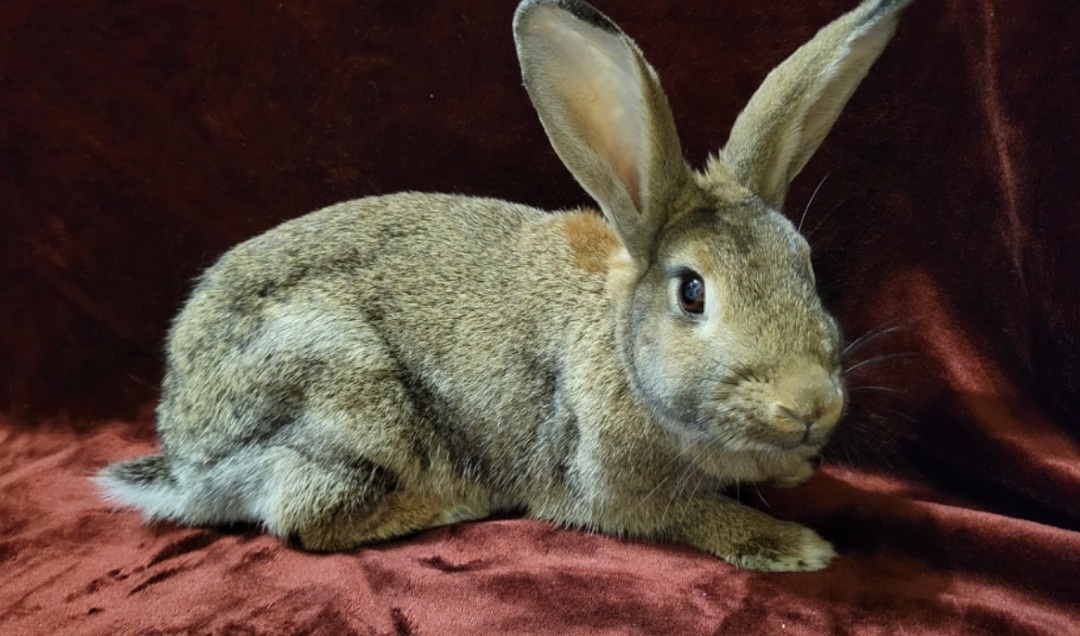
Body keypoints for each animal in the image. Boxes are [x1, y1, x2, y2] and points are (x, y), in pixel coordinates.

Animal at [96, 0, 911, 572]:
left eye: (806, 265)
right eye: (691, 292)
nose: (809, 405)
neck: (620, 347)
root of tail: (186, 455)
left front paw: (799, 470)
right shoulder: (612, 486)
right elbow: (693, 516)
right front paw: (795, 545)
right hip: (347, 402)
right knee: (305, 517)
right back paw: (449, 506)